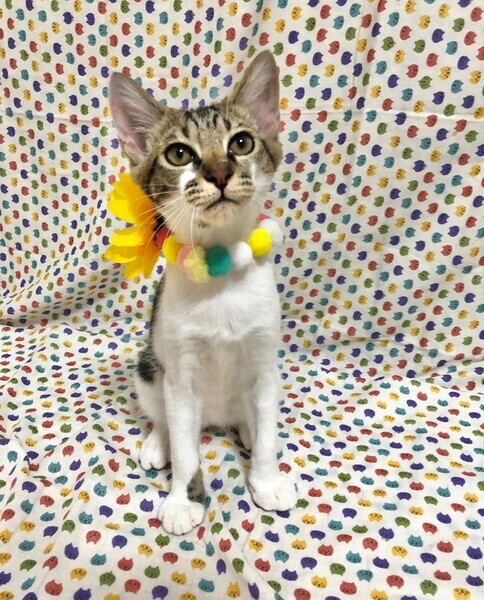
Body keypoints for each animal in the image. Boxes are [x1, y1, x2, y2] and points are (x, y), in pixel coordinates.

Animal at [109, 51, 297, 535]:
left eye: (242, 143)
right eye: (179, 154)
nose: (219, 172)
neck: (220, 272)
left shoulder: (266, 360)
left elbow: (267, 432)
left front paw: (266, 480)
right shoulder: (180, 371)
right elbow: (185, 448)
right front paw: (183, 500)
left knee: (253, 417)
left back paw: (248, 428)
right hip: (150, 366)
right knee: (164, 415)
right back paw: (159, 443)